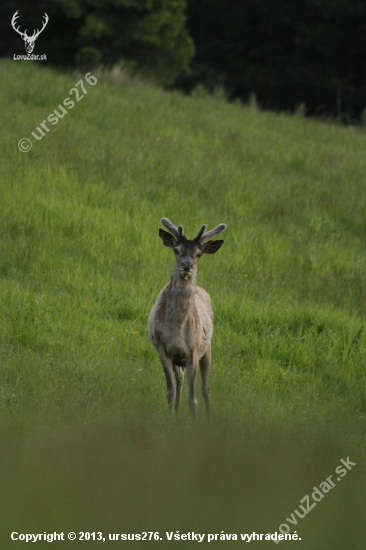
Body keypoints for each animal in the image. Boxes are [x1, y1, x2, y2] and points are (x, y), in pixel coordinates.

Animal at [149, 218, 226, 416]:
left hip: (207, 348)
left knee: (206, 388)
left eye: (199, 254)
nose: (186, 265)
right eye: (176, 250)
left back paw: (208, 416)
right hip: (180, 359)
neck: (177, 326)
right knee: (180, 380)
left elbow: (193, 399)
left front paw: (195, 419)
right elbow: (170, 390)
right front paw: (170, 416)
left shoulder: (194, 351)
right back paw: (177, 411)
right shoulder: (163, 349)